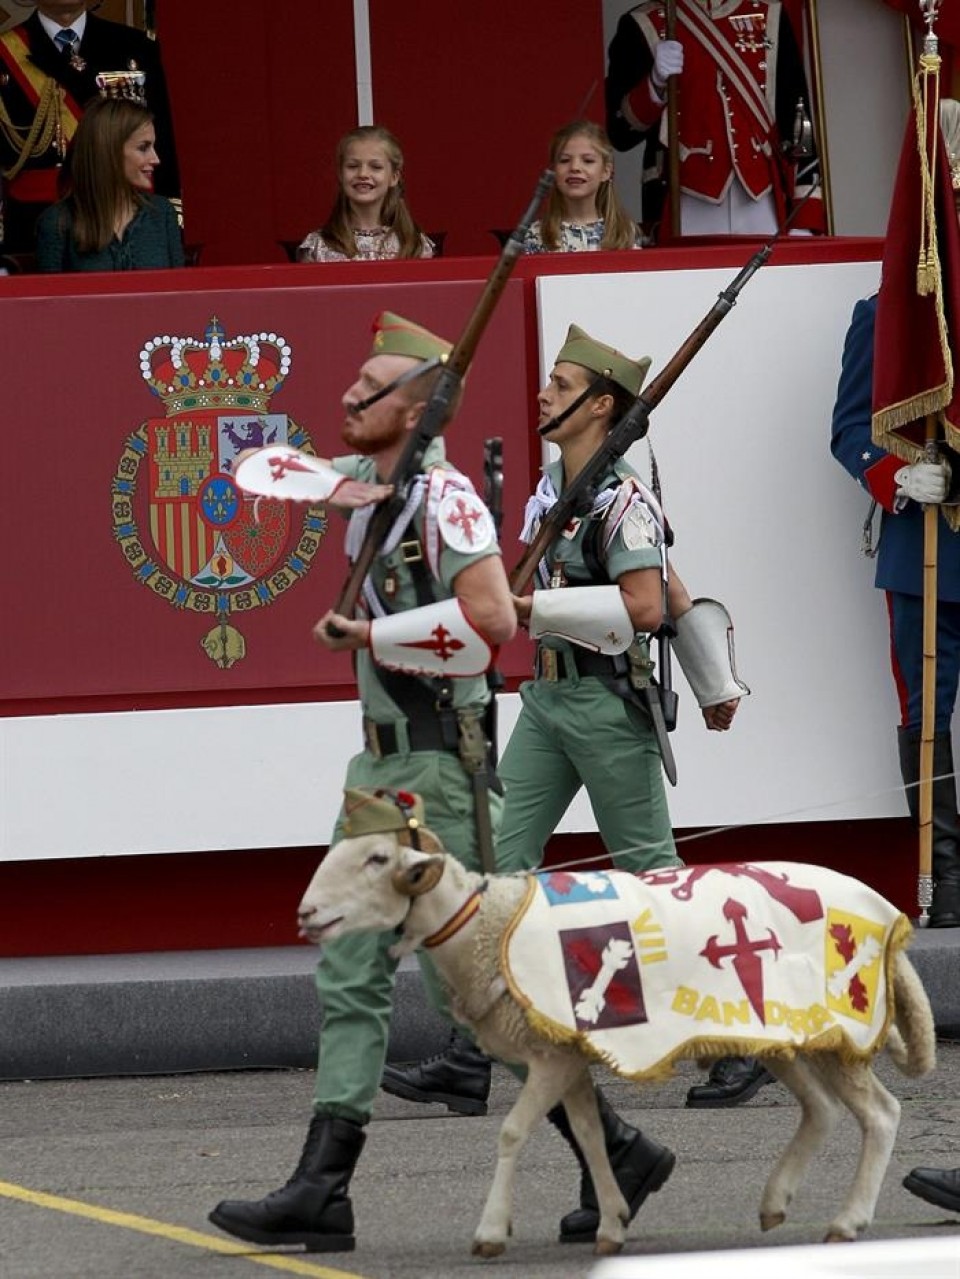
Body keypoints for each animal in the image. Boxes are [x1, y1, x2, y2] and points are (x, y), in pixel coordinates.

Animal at [296, 839, 935, 1258]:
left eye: (377, 860)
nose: (305, 913)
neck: (483, 924)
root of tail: (884, 910)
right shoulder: (571, 1053)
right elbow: (588, 1136)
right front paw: (611, 1223)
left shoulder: (551, 1055)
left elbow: (511, 1132)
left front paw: (491, 1231)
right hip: (789, 1036)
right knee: (821, 1109)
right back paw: (776, 1202)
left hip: (836, 1028)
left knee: (881, 1114)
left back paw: (849, 1220)